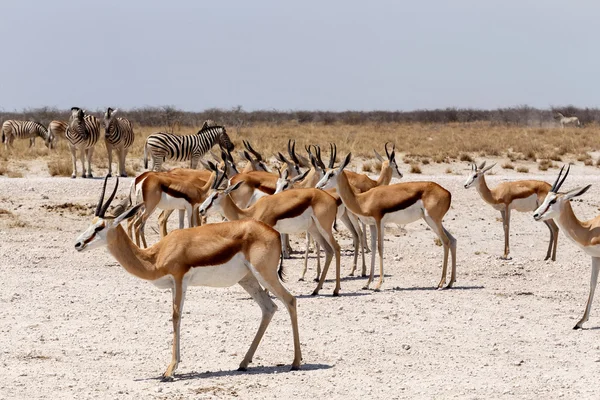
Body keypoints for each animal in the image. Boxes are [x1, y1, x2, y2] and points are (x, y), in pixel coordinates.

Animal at [74, 178, 300, 382]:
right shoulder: (175, 285)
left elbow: (176, 317)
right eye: (90, 224)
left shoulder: (180, 280)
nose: (78, 244)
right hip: (247, 279)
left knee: (290, 300)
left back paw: (296, 363)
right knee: (269, 307)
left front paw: (169, 371)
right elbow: (175, 317)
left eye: (100, 227)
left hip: (265, 274)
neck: (156, 256)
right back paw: (244, 363)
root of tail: (273, 232)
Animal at [532, 165, 596, 328]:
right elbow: (592, 284)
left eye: (553, 200)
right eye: (545, 198)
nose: (535, 215)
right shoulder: (595, 257)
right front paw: (580, 322)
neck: (588, 230)